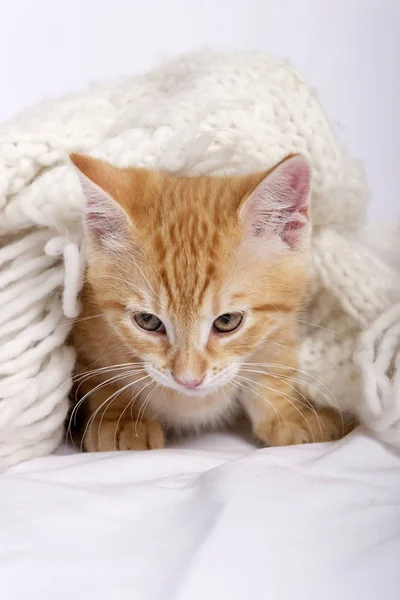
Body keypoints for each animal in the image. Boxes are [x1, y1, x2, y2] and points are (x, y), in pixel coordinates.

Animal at [69, 154, 344, 450]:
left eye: (227, 321)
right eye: (147, 320)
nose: (188, 380)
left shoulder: (281, 326)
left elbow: (275, 367)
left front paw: (290, 416)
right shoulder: (88, 332)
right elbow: (103, 376)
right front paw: (123, 422)